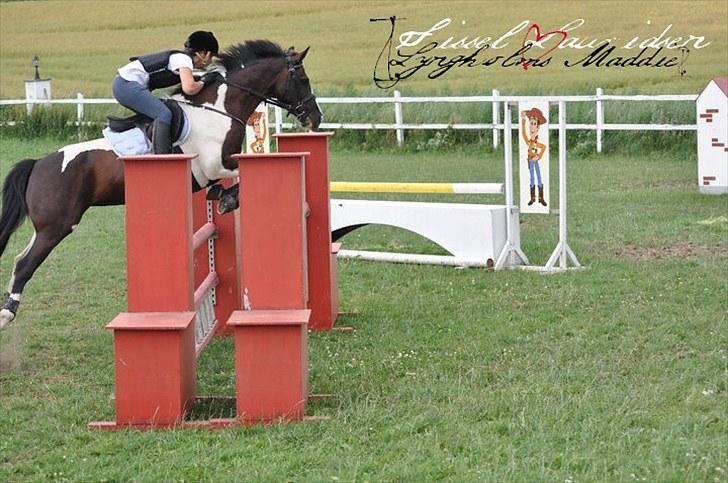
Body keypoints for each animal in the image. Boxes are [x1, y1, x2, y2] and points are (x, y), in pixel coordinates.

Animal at [0, 40, 322, 328]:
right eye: (303, 79)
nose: (316, 119)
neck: (220, 109)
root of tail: (38, 164)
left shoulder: (214, 168)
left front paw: (221, 195)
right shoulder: (215, 163)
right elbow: (239, 176)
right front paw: (228, 199)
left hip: (49, 226)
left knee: (19, 259)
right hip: (57, 225)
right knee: (25, 264)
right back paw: (7, 314)